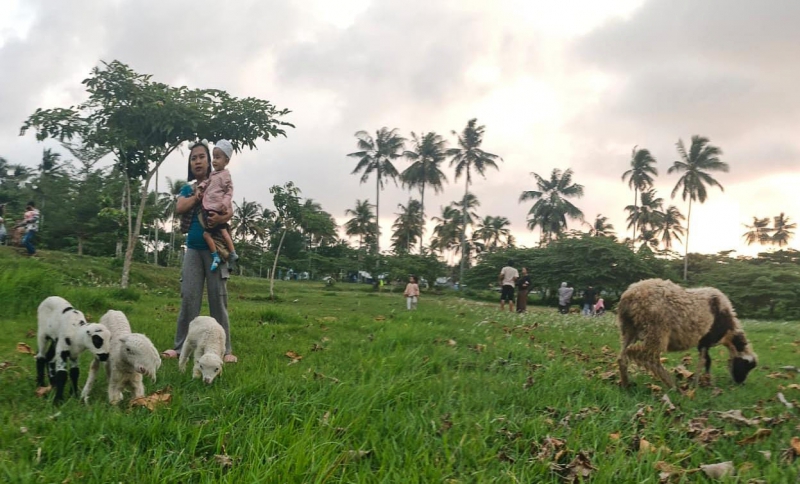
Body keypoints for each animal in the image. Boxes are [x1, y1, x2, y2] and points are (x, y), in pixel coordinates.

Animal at [616, 278, 760, 388]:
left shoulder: (703, 343)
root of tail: (630, 295)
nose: (740, 383)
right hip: (656, 330)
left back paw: (626, 385)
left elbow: (706, 361)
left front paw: (705, 381)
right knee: (645, 356)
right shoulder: (706, 340)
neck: (728, 332)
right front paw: (699, 384)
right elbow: (705, 361)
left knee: (622, 357)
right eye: (746, 366)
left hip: (629, 329)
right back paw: (673, 386)